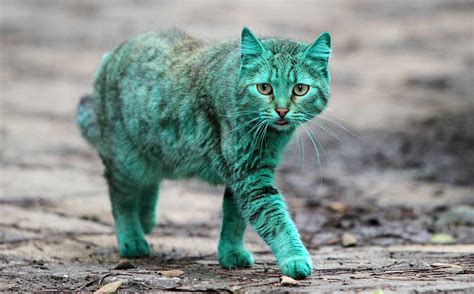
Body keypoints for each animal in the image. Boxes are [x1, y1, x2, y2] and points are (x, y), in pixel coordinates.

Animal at [77, 27, 330, 278]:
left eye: (300, 89)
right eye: (264, 88)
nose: (282, 110)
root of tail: (110, 56)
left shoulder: (242, 176)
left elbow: (234, 217)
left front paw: (231, 252)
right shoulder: (249, 177)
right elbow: (275, 220)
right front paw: (295, 258)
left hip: (152, 152)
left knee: (148, 182)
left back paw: (145, 218)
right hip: (125, 161)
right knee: (121, 198)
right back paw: (132, 237)